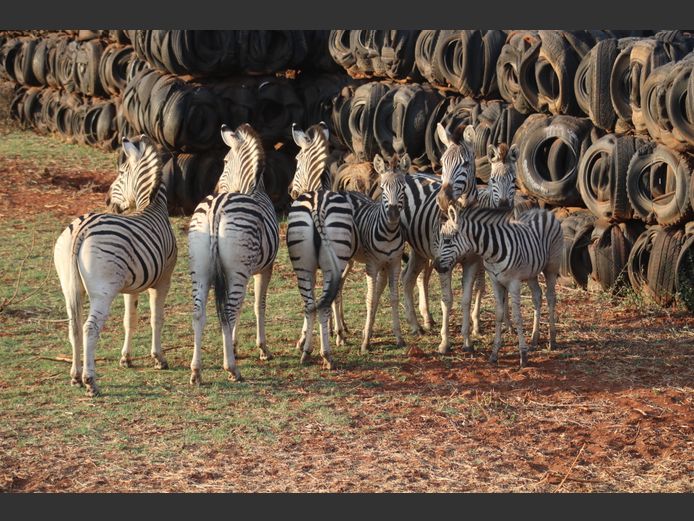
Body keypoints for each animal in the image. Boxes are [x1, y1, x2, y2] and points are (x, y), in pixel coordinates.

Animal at [53, 135, 177, 397]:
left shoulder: (130, 287)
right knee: (89, 328)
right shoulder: (163, 280)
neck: (152, 205)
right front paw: (159, 358)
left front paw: (126, 359)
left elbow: (129, 320)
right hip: (103, 292)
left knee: (74, 327)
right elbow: (156, 318)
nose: (107, 201)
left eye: (120, 173)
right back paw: (90, 381)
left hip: (69, 286)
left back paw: (75, 376)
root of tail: (82, 228)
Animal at [188, 123, 279, 384]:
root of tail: (217, 208)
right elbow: (258, 304)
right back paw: (232, 369)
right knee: (227, 311)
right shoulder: (263, 268)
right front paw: (262, 349)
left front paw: (234, 345)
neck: (250, 188)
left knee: (199, 313)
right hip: (236, 269)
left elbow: (240, 307)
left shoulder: (243, 270)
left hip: (201, 267)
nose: (215, 187)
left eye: (225, 161)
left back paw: (196, 371)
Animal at [287, 122, 356, 369]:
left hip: (306, 264)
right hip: (332, 259)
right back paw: (323, 352)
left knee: (312, 304)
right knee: (321, 302)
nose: (290, 190)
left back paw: (312, 352)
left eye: (297, 160)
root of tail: (317, 205)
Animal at [343, 154, 408, 353]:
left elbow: (394, 298)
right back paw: (337, 334)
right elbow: (371, 299)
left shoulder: (394, 263)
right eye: (382, 188)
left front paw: (399, 337)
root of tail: (348, 192)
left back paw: (340, 331)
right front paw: (365, 342)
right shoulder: (372, 265)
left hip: (349, 260)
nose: (393, 214)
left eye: (403, 188)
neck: (389, 234)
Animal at [434, 205, 563, 367]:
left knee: (551, 297)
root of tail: (542, 211)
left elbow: (517, 317)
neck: (492, 252)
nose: (436, 266)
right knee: (537, 296)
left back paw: (552, 340)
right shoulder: (495, 282)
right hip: (531, 272)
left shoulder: (514, 282)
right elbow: (499, 314)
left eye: (448, 240)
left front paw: (523, 355)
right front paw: (495, 353)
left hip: (552, 266)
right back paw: (534, 339)